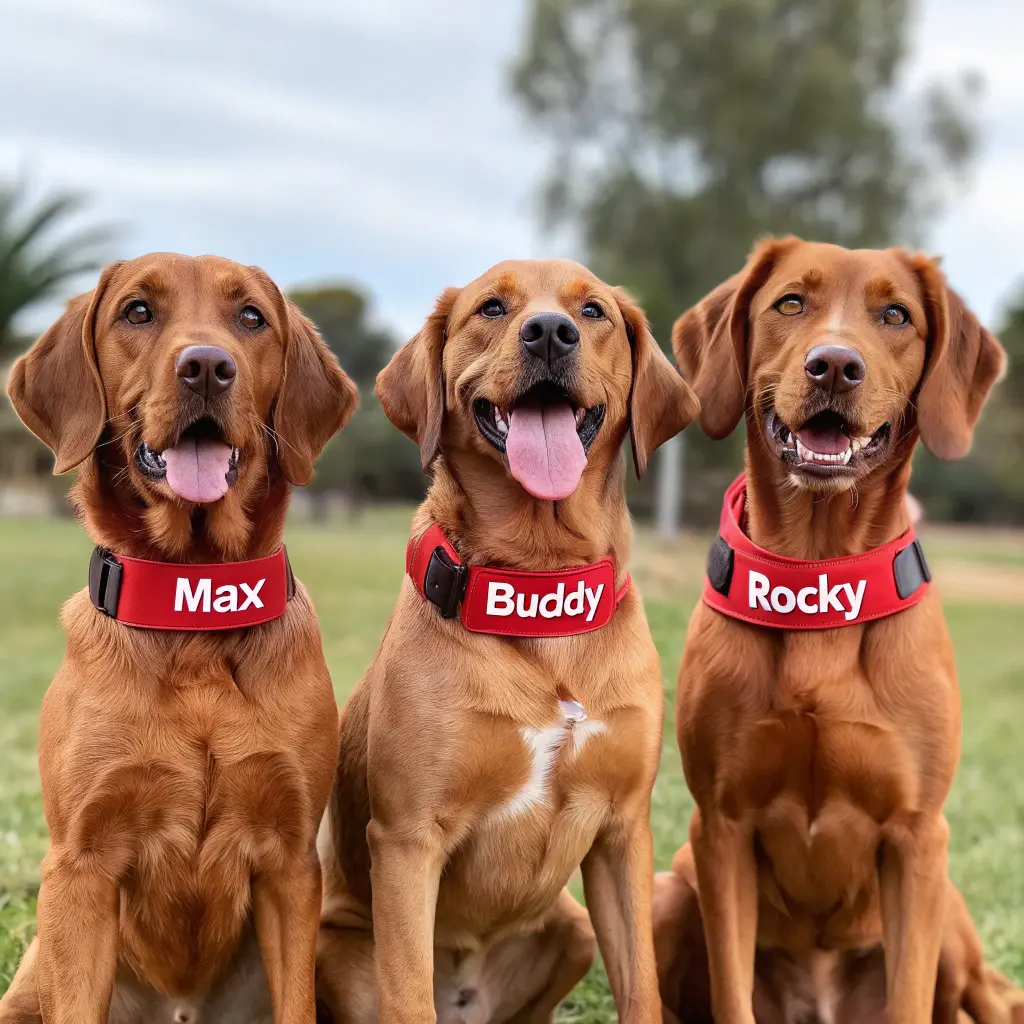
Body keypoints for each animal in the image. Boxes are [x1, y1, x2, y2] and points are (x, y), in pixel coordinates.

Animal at [0, 253, 358, 1024]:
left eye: (250, 317)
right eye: (137, 311)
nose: (206, 367)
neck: (193, 613)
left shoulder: (290, 862)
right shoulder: (82, 865)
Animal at [311, 260, 696, 1019]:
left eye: (594, 310)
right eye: (491, 307)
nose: (550, 331)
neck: (539, 583)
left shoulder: (622, 833)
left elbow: (643, 989)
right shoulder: (407, 841)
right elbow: (409, 998)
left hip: (572, 927)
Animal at [651, 237, 1019, 1024]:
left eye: (896, 315)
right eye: (791, 302)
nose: (835, 365)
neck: (817, 576)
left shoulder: (917, 837)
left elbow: (910, 999)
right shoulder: (719, 827)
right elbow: (731, 994)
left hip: (951, 916)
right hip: (671, 889)